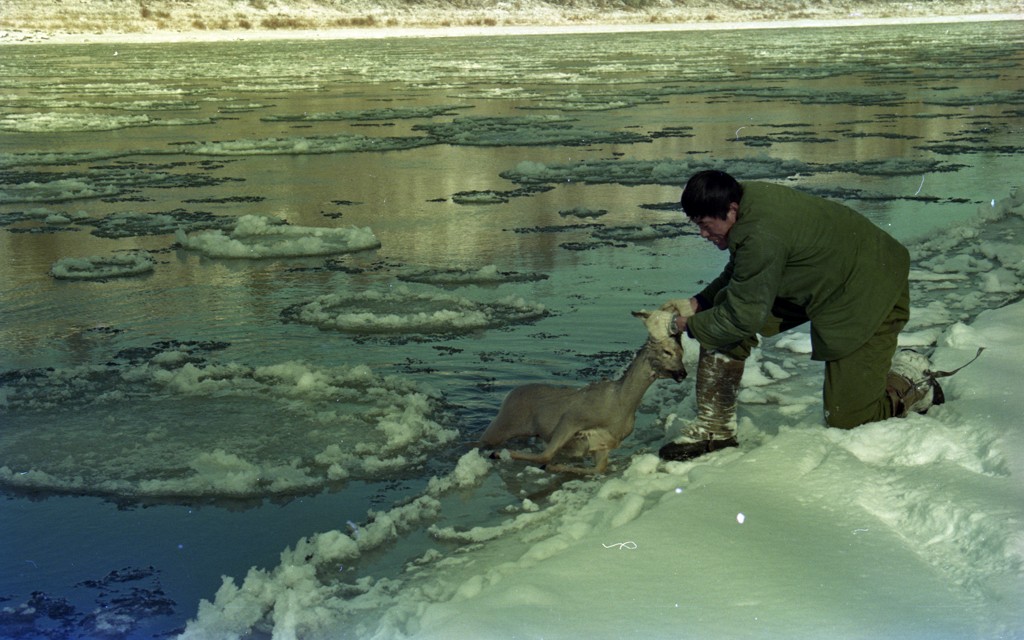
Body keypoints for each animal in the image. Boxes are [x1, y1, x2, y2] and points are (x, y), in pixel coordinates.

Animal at [479, 309, 688, 475]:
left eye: (682, 352)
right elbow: (545, 455)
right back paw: (493, 451)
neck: (620, 404)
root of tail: (509, 394)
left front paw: (554, 467)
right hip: (503, 424)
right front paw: (502, 455)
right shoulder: (571, 418)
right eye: (667, 351)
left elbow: (598, 469)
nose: (683, 373)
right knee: (481, 439)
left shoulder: (603, 444)